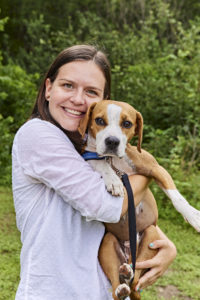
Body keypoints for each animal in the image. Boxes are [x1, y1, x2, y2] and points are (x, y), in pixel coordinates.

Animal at [77, 99, 199, 298]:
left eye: (127, 124)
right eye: (99, 120)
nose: (112, 141)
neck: (114, 160)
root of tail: (128, 252)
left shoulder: (156, 168)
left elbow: (176, 196)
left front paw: (194, 217)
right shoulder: (89, 157)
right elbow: (100, 162)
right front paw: (113, 180)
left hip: (150, 234)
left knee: (136, 279)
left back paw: (128, 273)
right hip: (107, 243)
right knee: (120, 287)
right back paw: (122, 283)